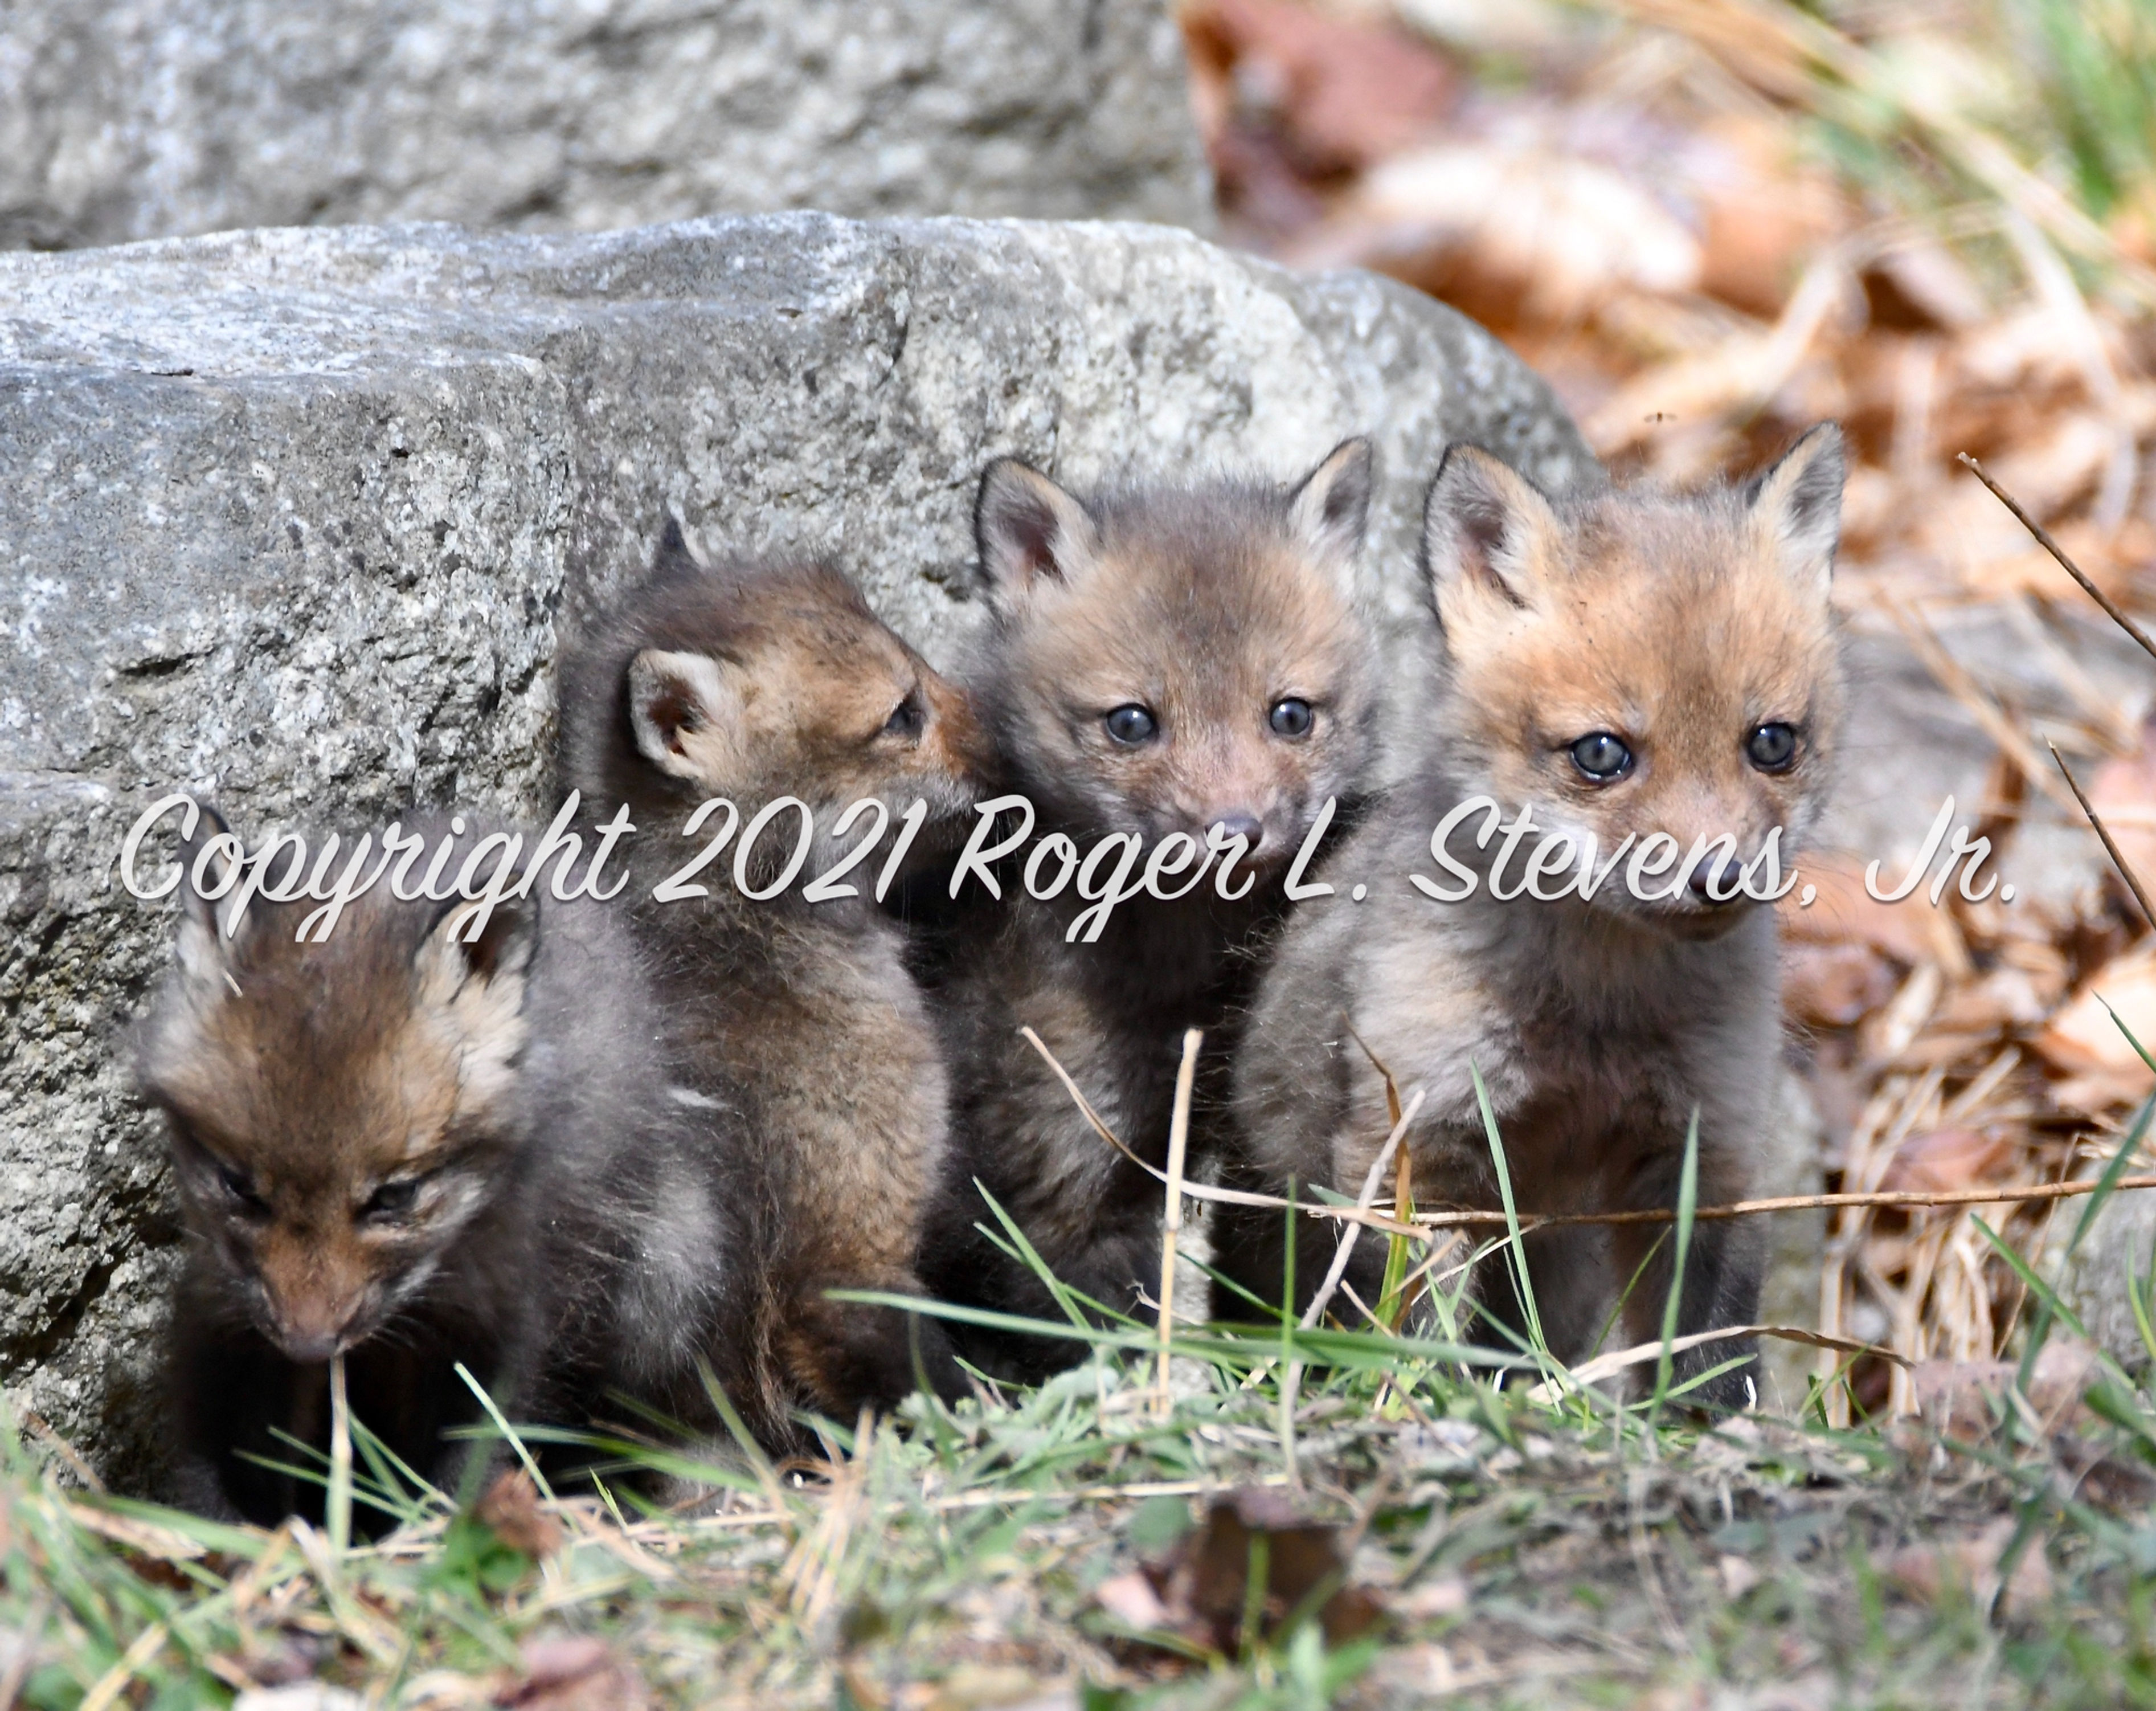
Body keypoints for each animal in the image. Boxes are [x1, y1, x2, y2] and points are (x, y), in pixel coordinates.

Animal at [136, 811, 757, 1526]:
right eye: (239, 1188)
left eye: (394, 1197)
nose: (312, 1344)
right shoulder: (225, 1310)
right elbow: (228, 1461)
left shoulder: (495, 1328)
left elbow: (467, 1467)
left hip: (662, 1288)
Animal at [915, 441, 1383, 1377]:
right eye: (1131, 723)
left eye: (1290, 714)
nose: (1235, 829)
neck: (1185, 980)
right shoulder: (1062, 1166)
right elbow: (1096, 1326)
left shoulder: (1245, 1145)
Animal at [1225, 425, 1848, 1407]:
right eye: (1601, 753)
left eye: (1772, 742)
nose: (1720, 876)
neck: (1598, 1016)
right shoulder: (1419, 1150)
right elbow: (1413, 1330)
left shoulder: (1701, 1153)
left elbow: (1708, 1352)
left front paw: (1708, 1428)